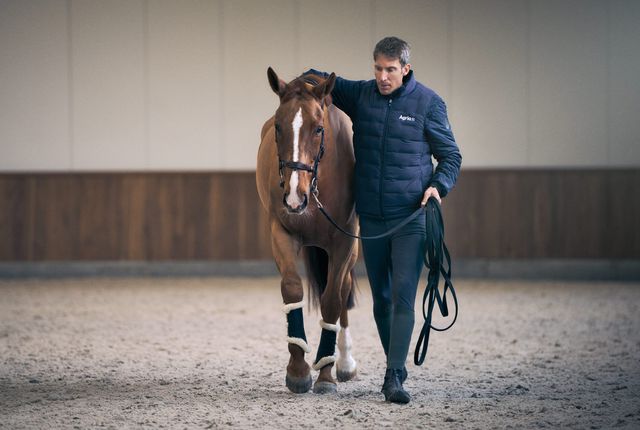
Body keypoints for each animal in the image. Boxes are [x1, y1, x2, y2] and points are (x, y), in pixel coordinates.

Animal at [256, 68, 359, 394]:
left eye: (318, 128)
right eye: (278, 126)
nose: (293, 195)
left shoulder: (344, 241)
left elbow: (333, 299)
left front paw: (325, 373)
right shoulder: (281, 232)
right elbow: (292, 289)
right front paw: (299, 370)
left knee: (344, 289)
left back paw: (344, 363)